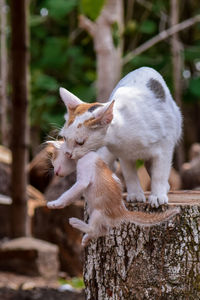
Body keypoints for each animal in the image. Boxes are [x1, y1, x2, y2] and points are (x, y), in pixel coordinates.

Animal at [47, 140, 180, 246]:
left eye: (53, 158)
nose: (55, 172)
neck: (84, 154)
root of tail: (122, 211)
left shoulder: (83, 179)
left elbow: (68, 194)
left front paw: (55, 204)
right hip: (93, 209)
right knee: (102, 231)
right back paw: (86, 238)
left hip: (98, 212)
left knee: (94, 229)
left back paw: (76, 223)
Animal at [58, 67, 182, 209]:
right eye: (65, 138)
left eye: (80, 142)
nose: (67, 154)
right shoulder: (124, 154)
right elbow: (130, 175)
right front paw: (135, 195)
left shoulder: (165, 147)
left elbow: (159, 174)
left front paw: (158, 196)